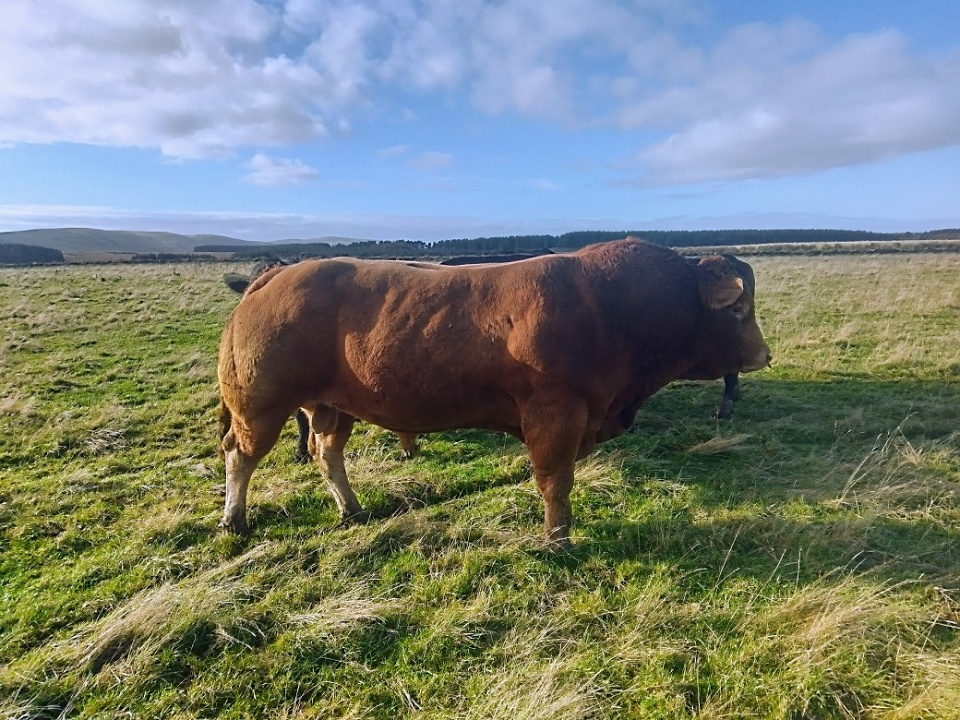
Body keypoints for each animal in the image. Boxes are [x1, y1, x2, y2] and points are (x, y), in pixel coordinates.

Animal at [218, 238, 772, 544]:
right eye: (738, 308)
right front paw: (557, 539)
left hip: (332, 405)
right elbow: (555, 483)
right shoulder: (555, 414)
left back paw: (351, 509)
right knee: (239, 455)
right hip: (259, 405)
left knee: (326, 452)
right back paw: (233, 519)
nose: (764, 355)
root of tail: (275, 275)